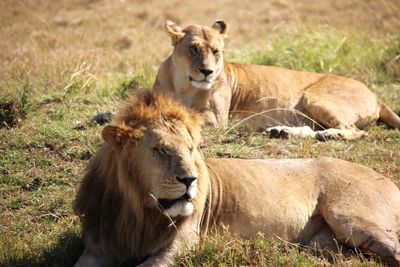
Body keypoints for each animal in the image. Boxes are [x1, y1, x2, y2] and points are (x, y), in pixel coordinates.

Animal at [73, 91, 400, 266]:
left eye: (190, 149)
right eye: (160, 150)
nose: (189, 180)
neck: (138, 210)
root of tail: (386, 179)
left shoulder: (184, 242)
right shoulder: (99, 245)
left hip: (351, 216)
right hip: (324, 244)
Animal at [154, 21, 400, 140]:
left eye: (216, 51)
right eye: (194, 48)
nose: (207, 72)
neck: (183, 84)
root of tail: (376, 97)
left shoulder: (217, 120)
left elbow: (187, 115)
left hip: (314, 97)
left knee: (357, 132)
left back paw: (328, 135)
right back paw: (282, 132)